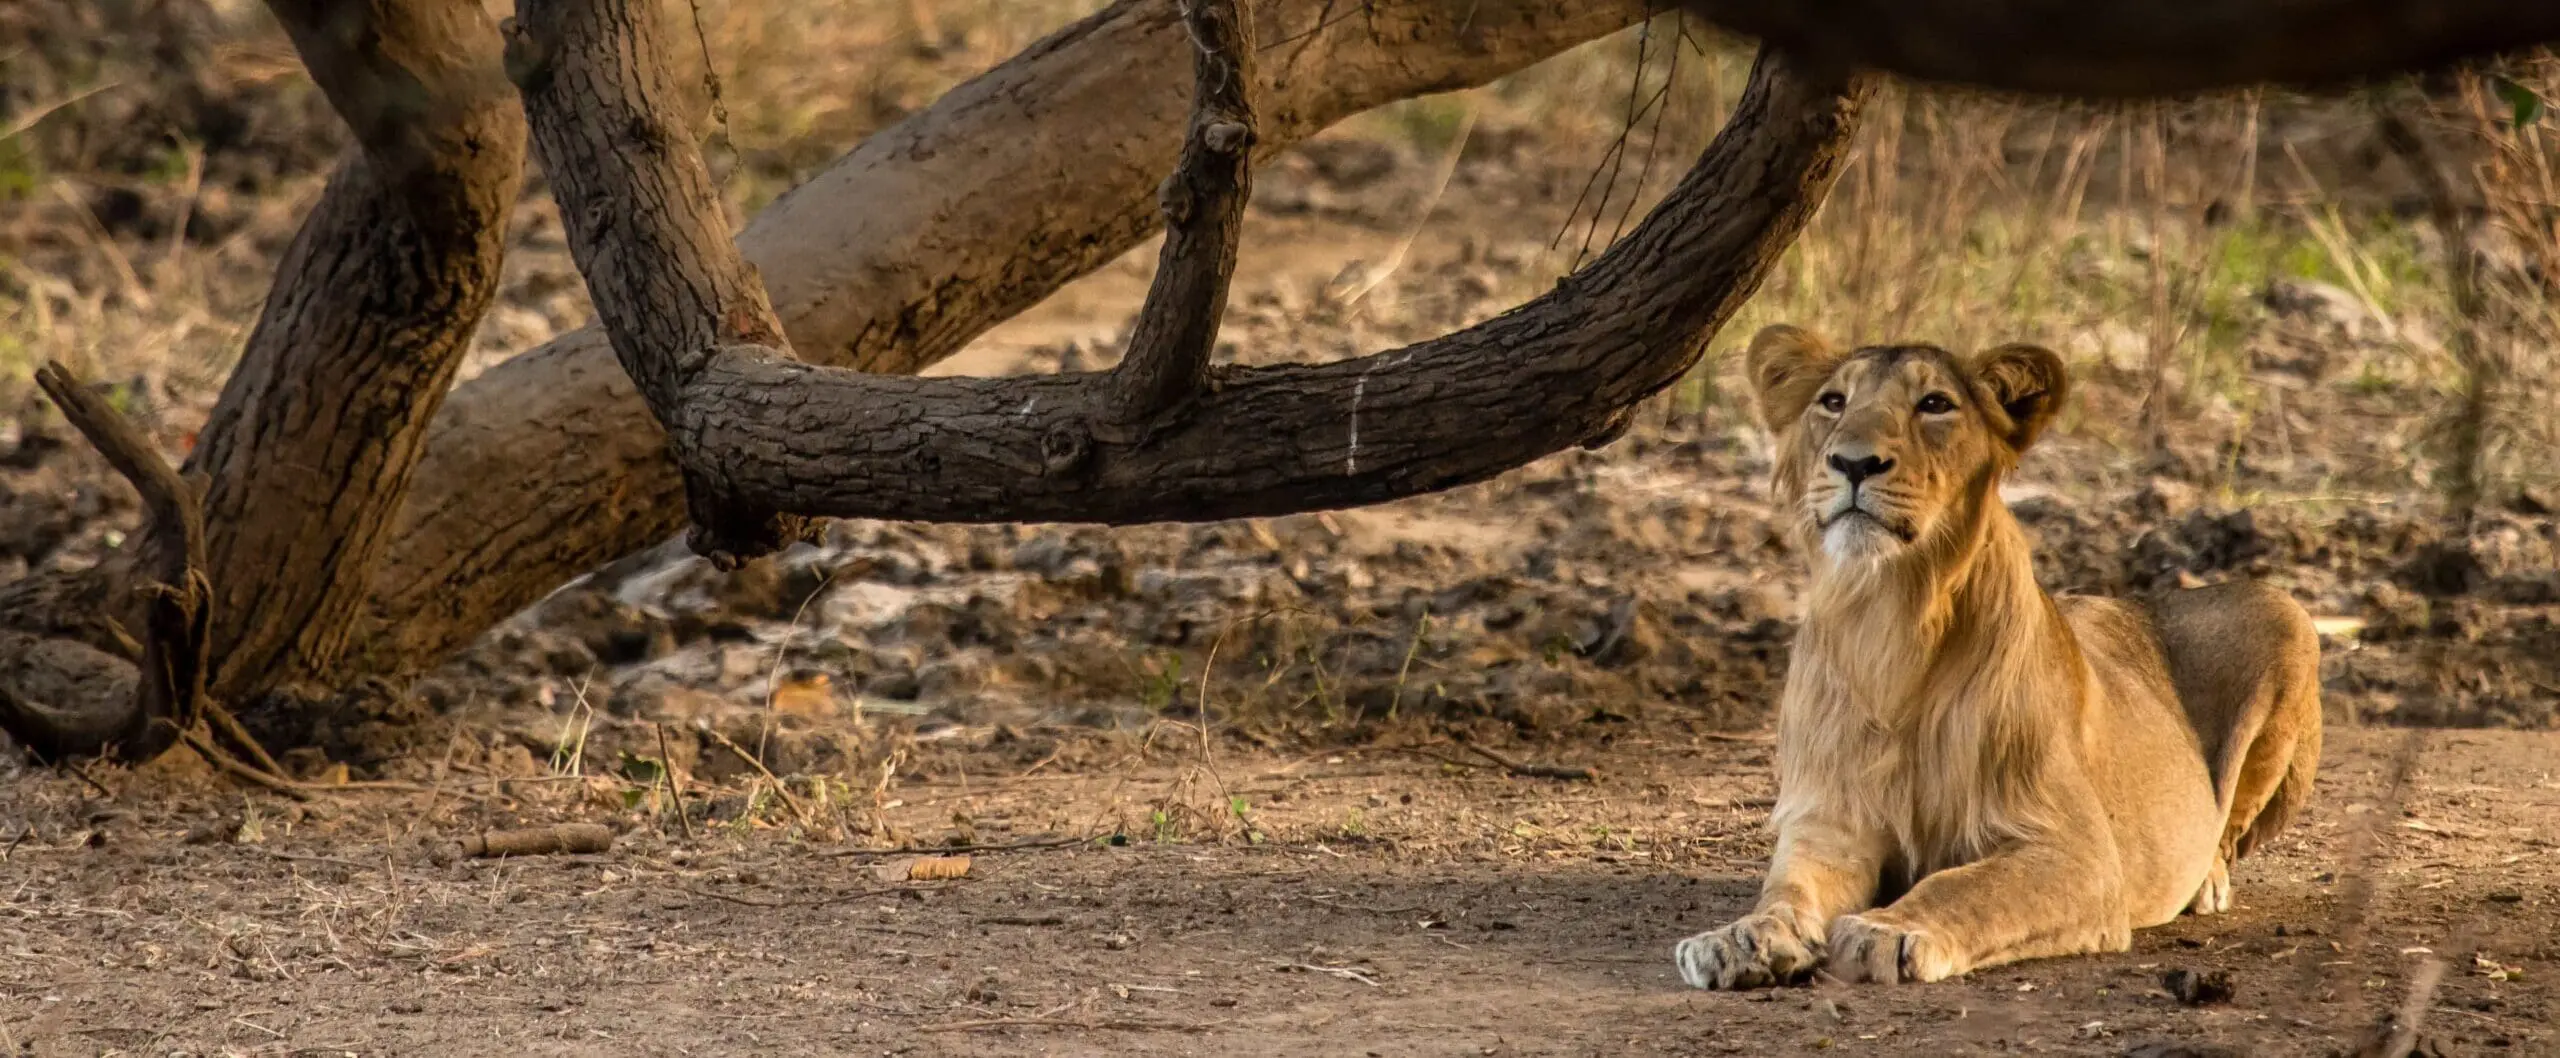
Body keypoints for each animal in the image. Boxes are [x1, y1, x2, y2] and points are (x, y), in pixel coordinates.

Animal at [1673, 325, 2323, 988]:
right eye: (1833, 402)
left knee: (2227, 833)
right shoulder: (1830, 825)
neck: (1890, 618)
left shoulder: (2076, 851)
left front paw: (1888, 931)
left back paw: (2206, 880)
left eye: (1934, 404)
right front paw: (1741, 938)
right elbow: (1786, 890)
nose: (1854, 462)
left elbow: (1967, 888)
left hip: (2286, 614)